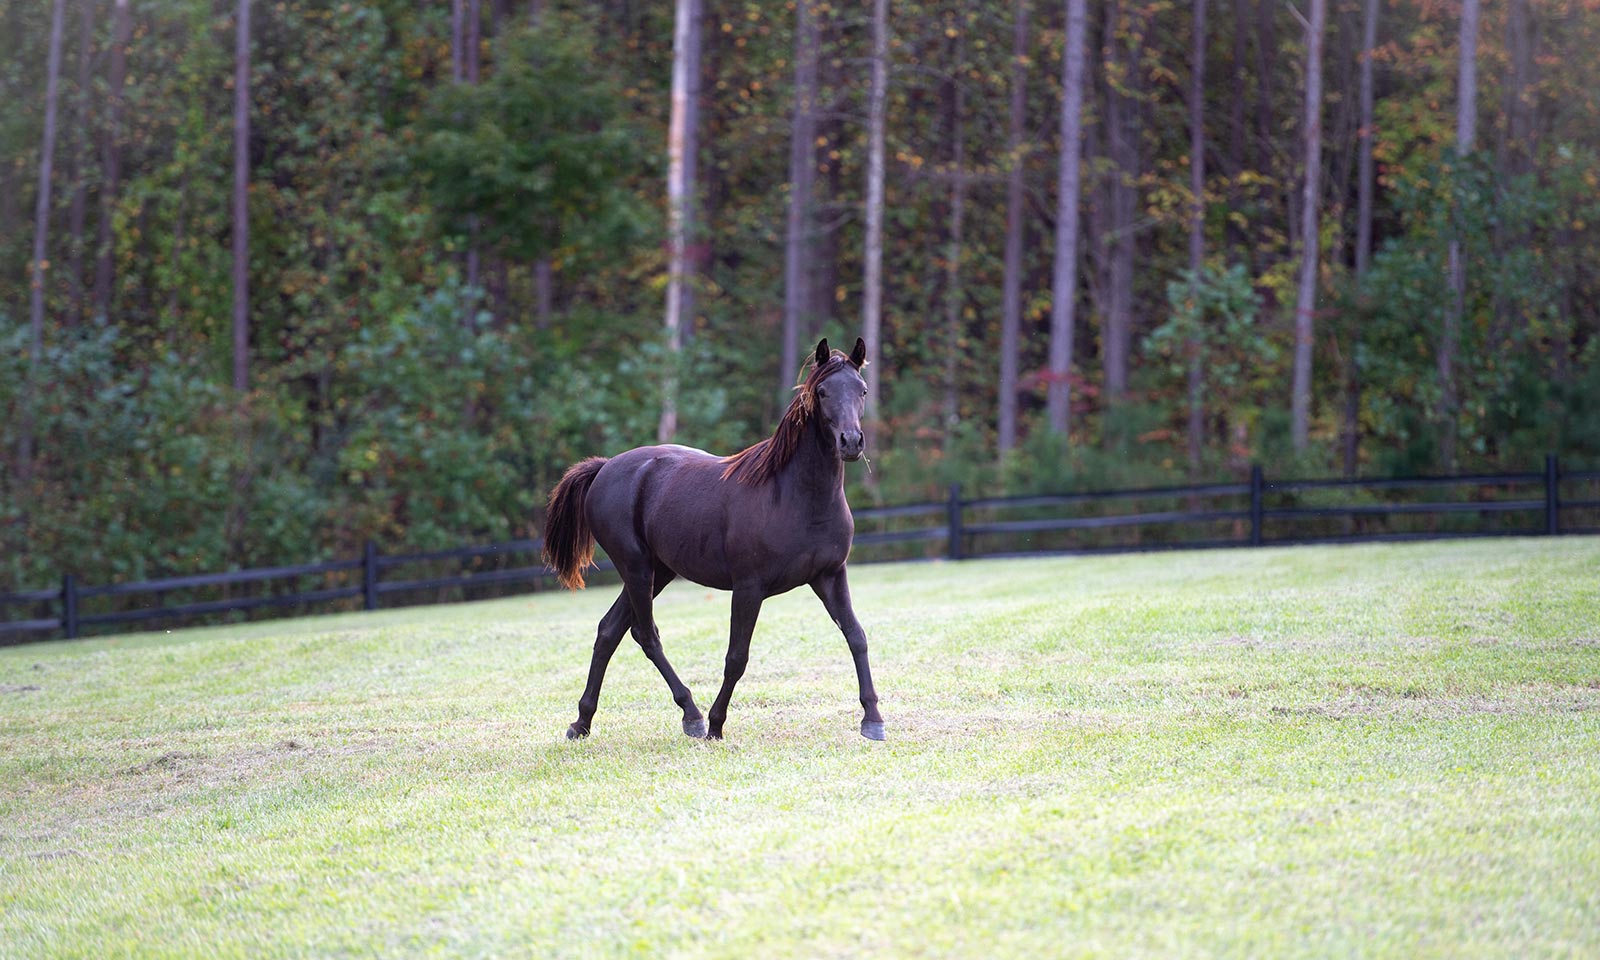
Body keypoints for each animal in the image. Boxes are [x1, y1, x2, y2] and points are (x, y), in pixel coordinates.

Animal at [544, 337, 883, 742]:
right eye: (822, 391)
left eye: (862, 390)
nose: (851, 442)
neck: (795, 496)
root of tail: (605, 467)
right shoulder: (749, 587)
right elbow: (737, 657)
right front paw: (717, 724)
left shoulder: (830, 576)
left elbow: (856, 636)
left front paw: (873, 719)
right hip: (636, 569)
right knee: (646, 634)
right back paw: (692, 715)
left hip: (658, 572)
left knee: (610, 631)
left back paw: (582, 722)